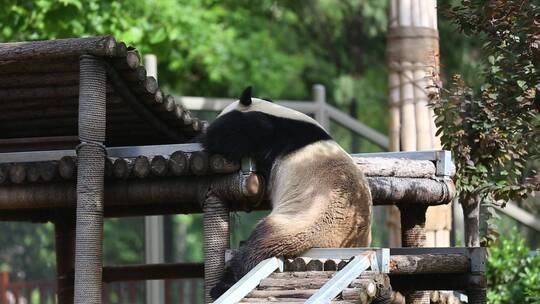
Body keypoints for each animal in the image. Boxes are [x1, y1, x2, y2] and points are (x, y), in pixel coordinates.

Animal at [202, 86, 372, 298]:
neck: (278, 111)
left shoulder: (270, 132)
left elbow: (234, 136)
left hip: (297, 222)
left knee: (258, 248)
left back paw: (222, 286)